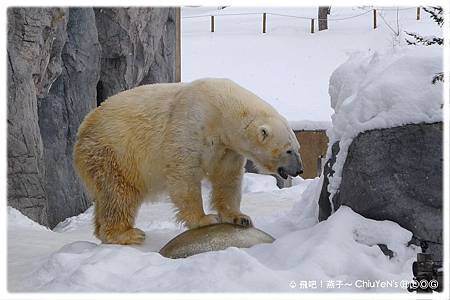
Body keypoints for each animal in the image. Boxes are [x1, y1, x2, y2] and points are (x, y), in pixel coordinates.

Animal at [74, 78, 304, 245]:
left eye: (298, 148)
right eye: (288, 149)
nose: (300, 169)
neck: (220, 111)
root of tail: (83, 129)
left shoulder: (227, 148)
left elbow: (227, 178)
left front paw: (240, 217)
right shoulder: (190, 125)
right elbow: (184, 174)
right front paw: (205, 219)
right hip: (113, 153)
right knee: (120, 193)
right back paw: (128, 234)